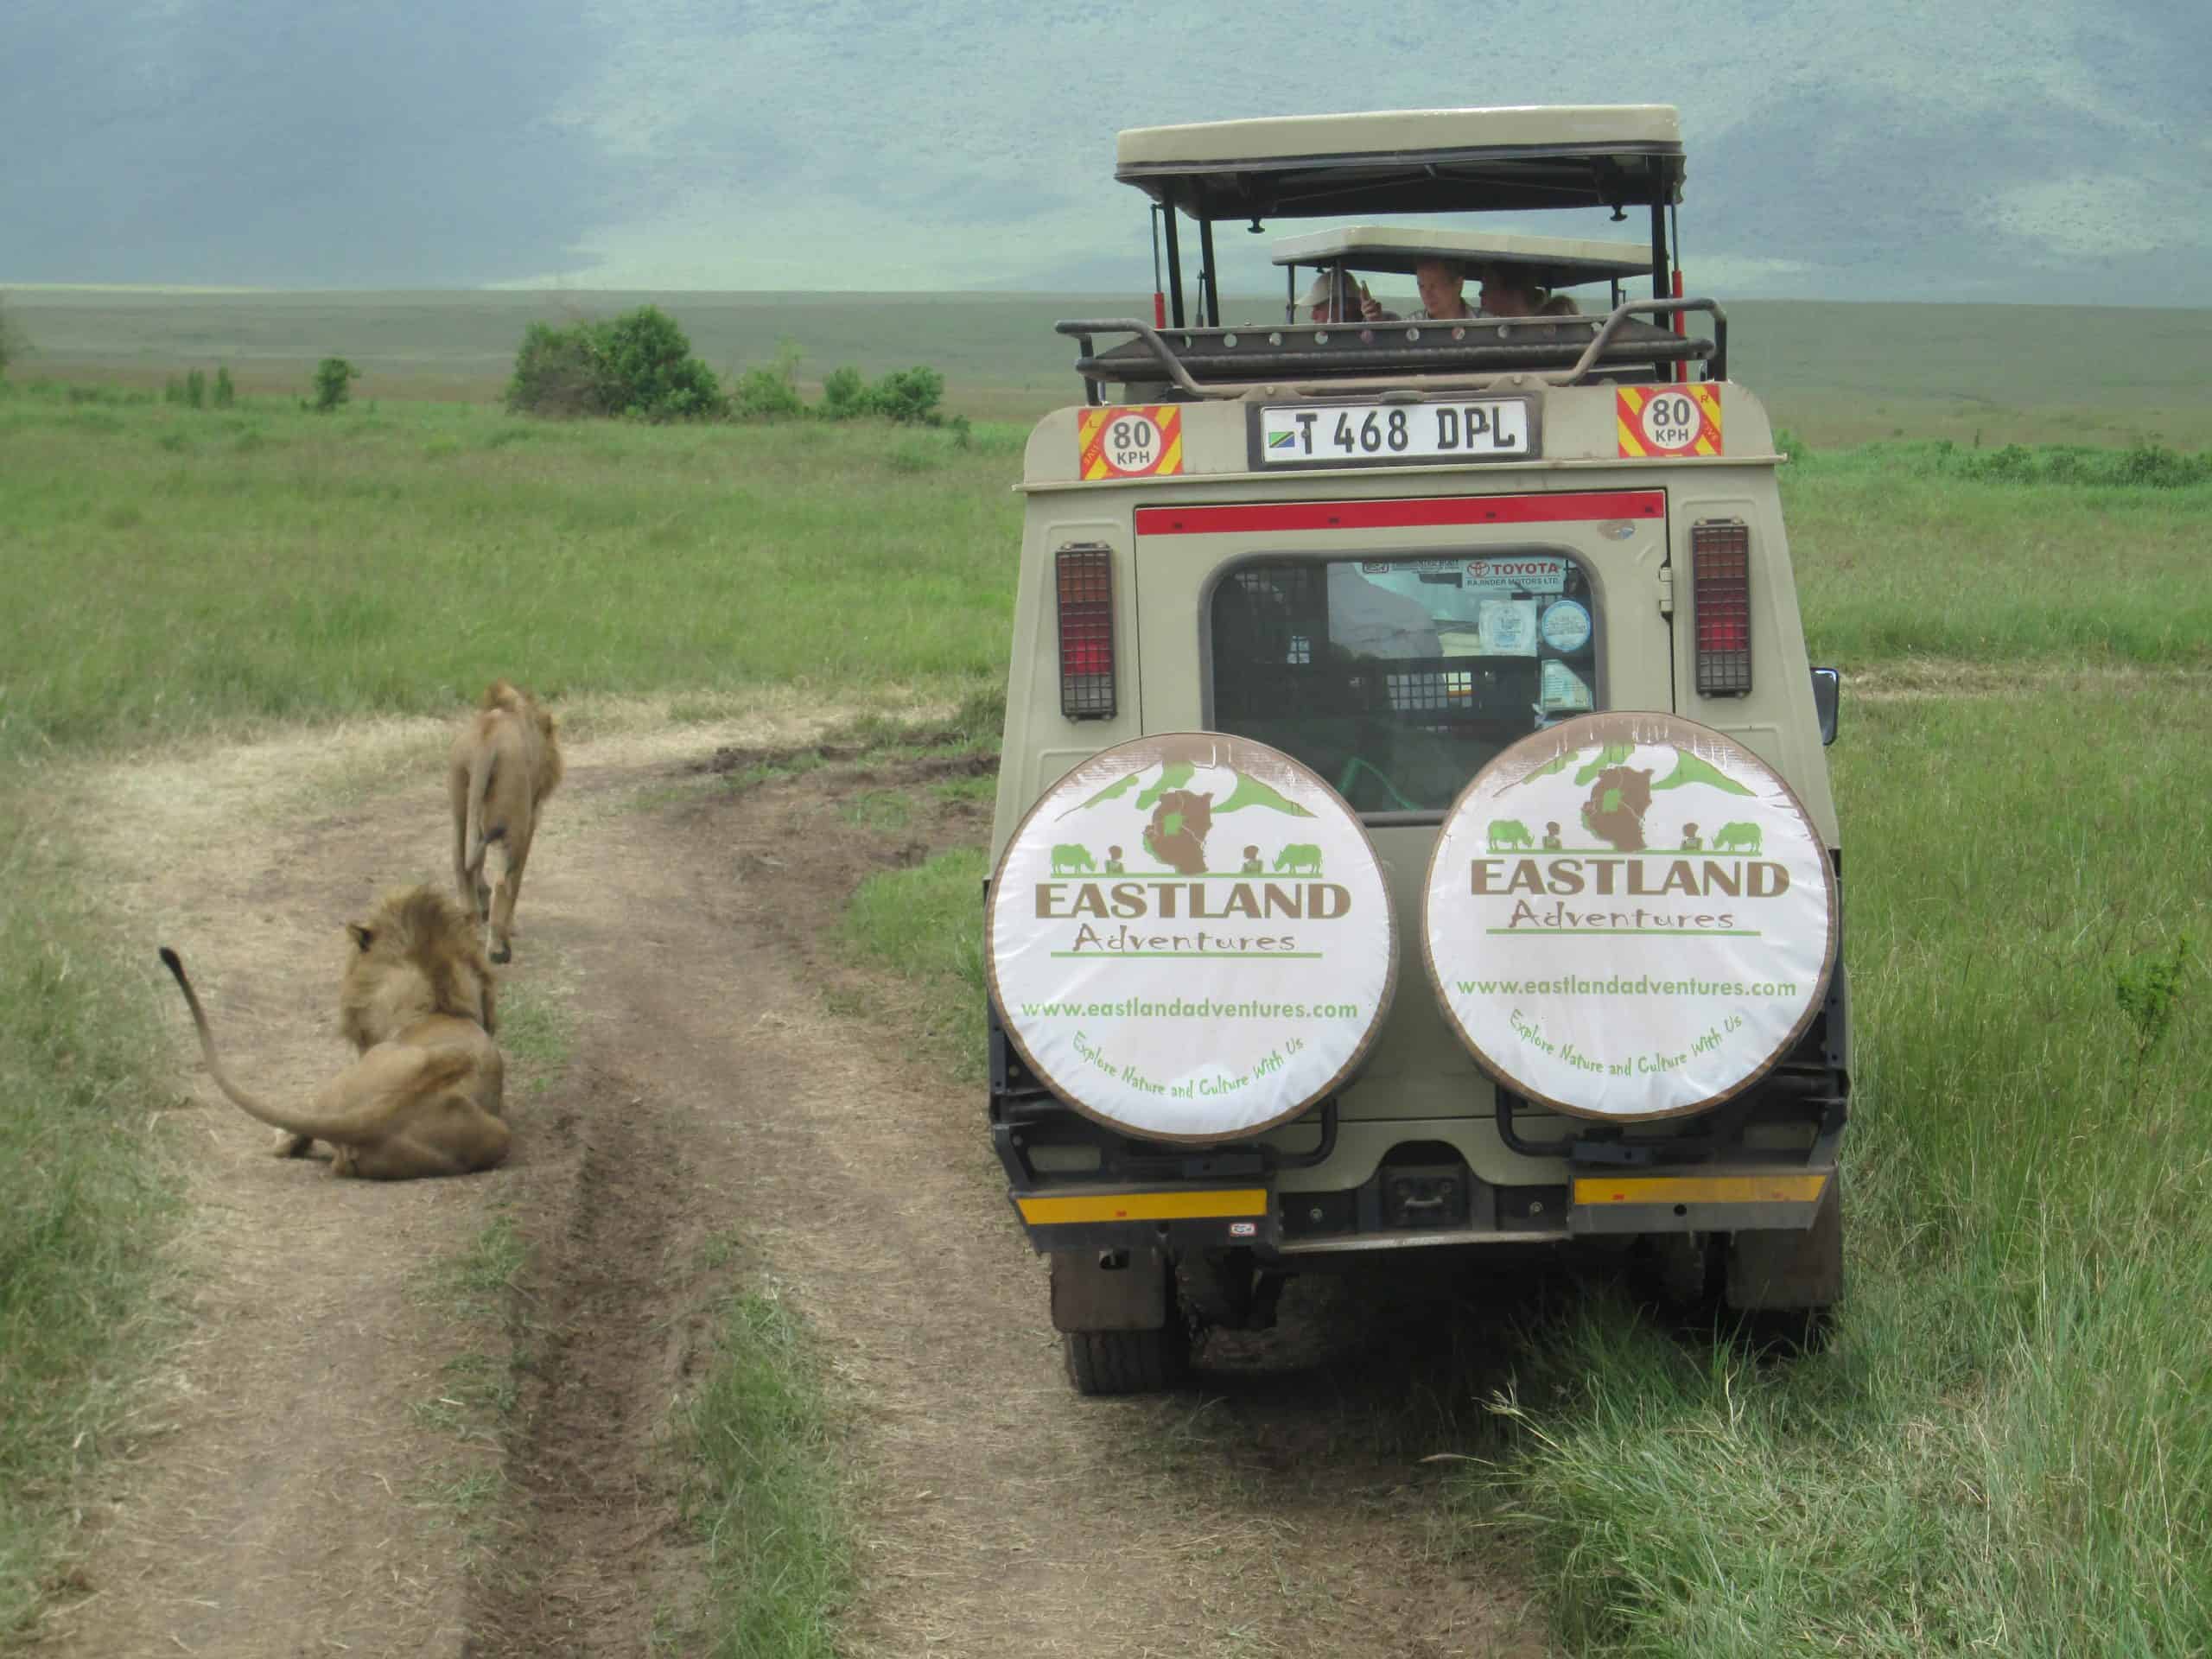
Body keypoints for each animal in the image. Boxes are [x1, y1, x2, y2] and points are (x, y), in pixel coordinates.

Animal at [448, 679, 563, 964]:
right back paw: (499, 949)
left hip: (460, 806)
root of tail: (486, 742)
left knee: (462, 865)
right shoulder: (530, 820)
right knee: (504, 881)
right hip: (515, 824)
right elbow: (517, 879)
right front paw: (511, 926)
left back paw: (471, 930)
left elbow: (477, 865)